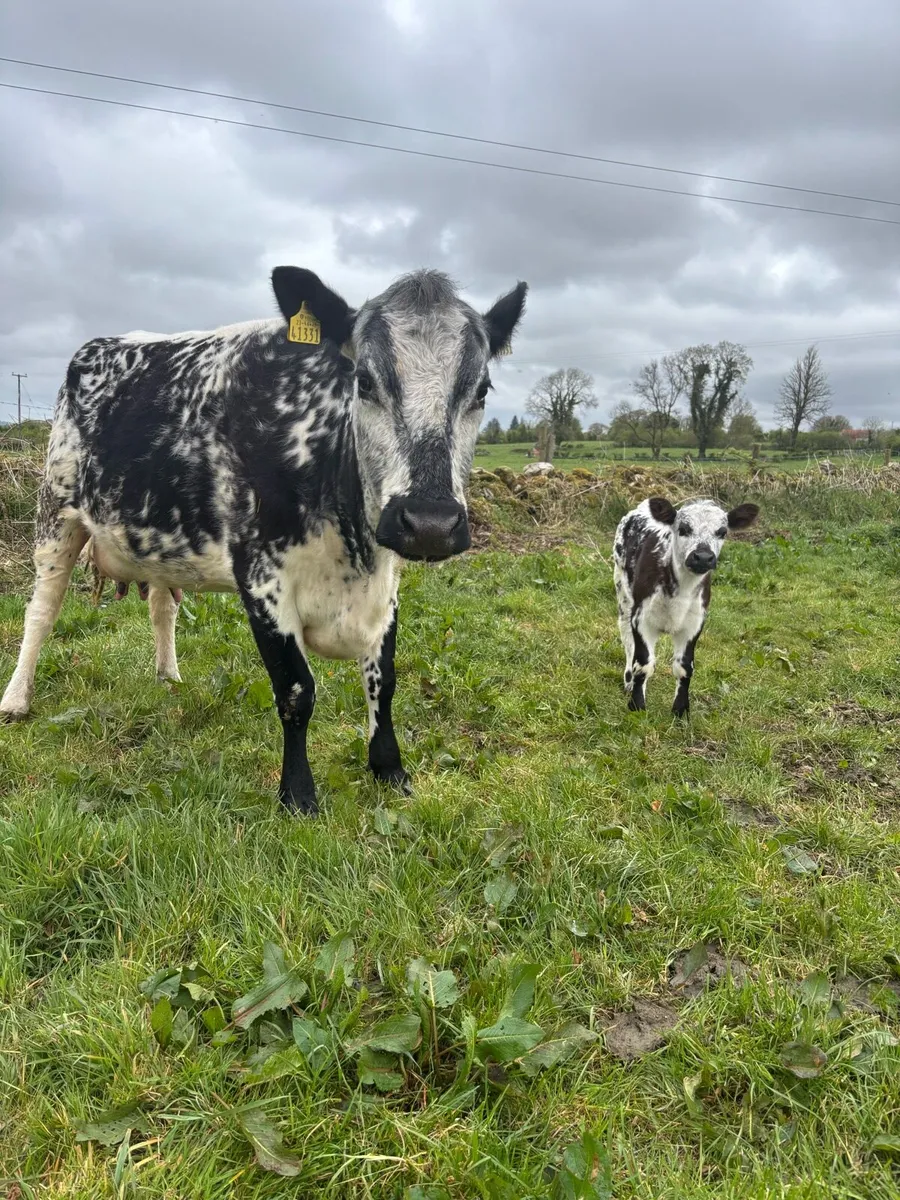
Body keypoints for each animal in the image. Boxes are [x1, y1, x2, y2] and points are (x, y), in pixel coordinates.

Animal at [1, 267, 528, 814]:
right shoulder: (261, 579)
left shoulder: (386, 586)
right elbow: (297, 690)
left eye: (481, 390)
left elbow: (384, 681)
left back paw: (168, 677)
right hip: (55, 511)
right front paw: (297, 794)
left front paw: (389, 769)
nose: (429, 522)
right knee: (42, 610)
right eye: (363, 381)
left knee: (162, 608)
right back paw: (16, 698)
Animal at [613, 496, 759, 716]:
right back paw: (629, 680)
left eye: (722, 532)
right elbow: (644, 663)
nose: (703, 557)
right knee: (627, 637)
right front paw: (637, 706)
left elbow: (684, 667)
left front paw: (680, 710)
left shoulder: (695, 623)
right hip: (622, 591)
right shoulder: (641, 619)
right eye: (683, 528)